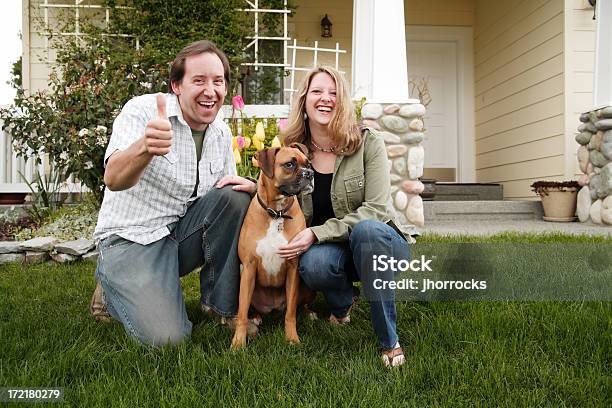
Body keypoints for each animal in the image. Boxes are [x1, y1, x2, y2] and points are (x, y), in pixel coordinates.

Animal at [231, 143, 316, 350]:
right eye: (289, 164)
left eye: (308, 164)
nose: (310, 173)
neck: (276, 213)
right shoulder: (249, 267)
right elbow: (242, 313)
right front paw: (238, 343)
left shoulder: (293, 267)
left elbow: (291, 313)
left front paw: (292, 338)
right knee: (248, 308)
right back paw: (255, 317)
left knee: (298, 306)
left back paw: (309, 313)